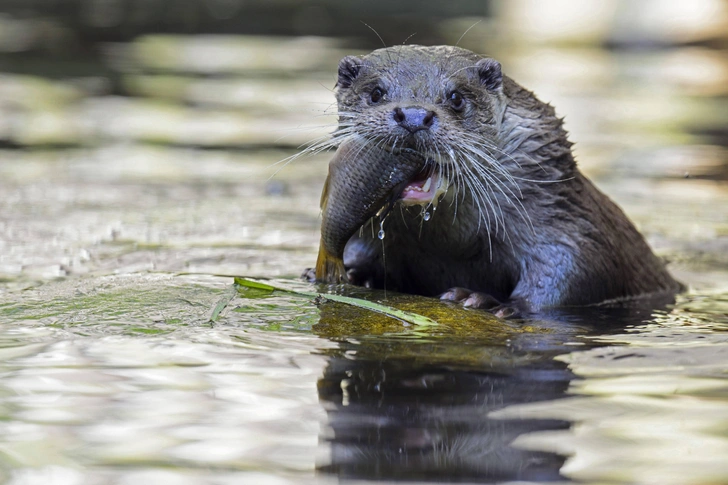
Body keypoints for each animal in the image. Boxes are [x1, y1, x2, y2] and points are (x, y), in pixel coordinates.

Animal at [308, 45, 684, 314]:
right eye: (376, 93)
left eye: (456, 98)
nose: (413, 115)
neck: (454, 244)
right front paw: (351, 274)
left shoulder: (561, 213)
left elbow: (577, 267)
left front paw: (490, 301)